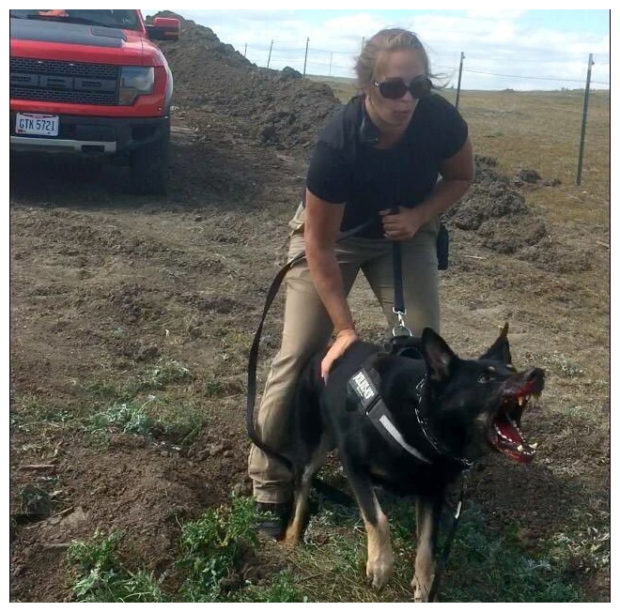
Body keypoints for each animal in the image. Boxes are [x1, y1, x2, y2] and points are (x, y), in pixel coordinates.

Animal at [278, 326, 544, 604]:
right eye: (484, 378)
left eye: (512, 369)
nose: (537, 374)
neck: (422, 420)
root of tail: (326, 349)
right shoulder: (353, 463)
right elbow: (377, 517)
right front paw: (380, 566)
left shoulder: (432, 491)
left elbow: (427, 546)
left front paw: (424, 588)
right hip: (311, 445)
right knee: (302, 487)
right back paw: (291, 538)